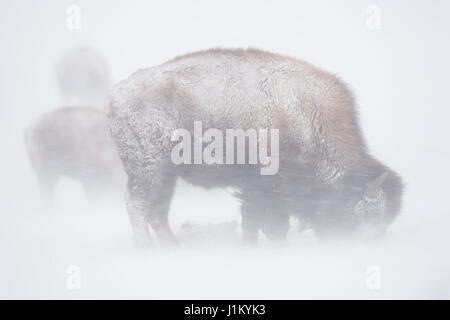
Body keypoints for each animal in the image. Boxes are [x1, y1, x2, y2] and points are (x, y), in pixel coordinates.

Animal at [106, 48, 404, 246]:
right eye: (357, 217)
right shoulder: (265, 186)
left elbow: (256, 220)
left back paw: (173, 247)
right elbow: (266, 222)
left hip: (166, 173)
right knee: (138, 204)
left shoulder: (257, 188)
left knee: (158, 210)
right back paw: (147, 248)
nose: (353, 246)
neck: (305, 117)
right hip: (149, 168)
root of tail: (117, 95)